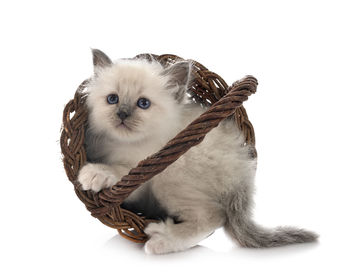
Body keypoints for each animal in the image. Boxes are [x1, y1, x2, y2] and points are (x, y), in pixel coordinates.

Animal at [77, 48, 318, 253]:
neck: (126, 144)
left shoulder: (141, 175)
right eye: (112, 99)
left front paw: (94, 174)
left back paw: (163, 239)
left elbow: (119, 171)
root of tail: (243, 173)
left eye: (143, 103)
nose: (122, 114)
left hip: (169, 179)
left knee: (214, 216)